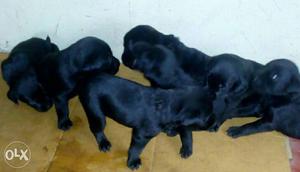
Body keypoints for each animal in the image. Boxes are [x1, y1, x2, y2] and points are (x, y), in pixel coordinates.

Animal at [78, 73, 214, 169]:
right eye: (207, 118)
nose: (214, 126)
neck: (171, 104)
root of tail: (85, 81)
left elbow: (186, 133)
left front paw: (184, 146)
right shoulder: (141, 135)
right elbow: (136, 149)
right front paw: (132, 162)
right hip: (97, 113)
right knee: (96, 128)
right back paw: (103, 143)